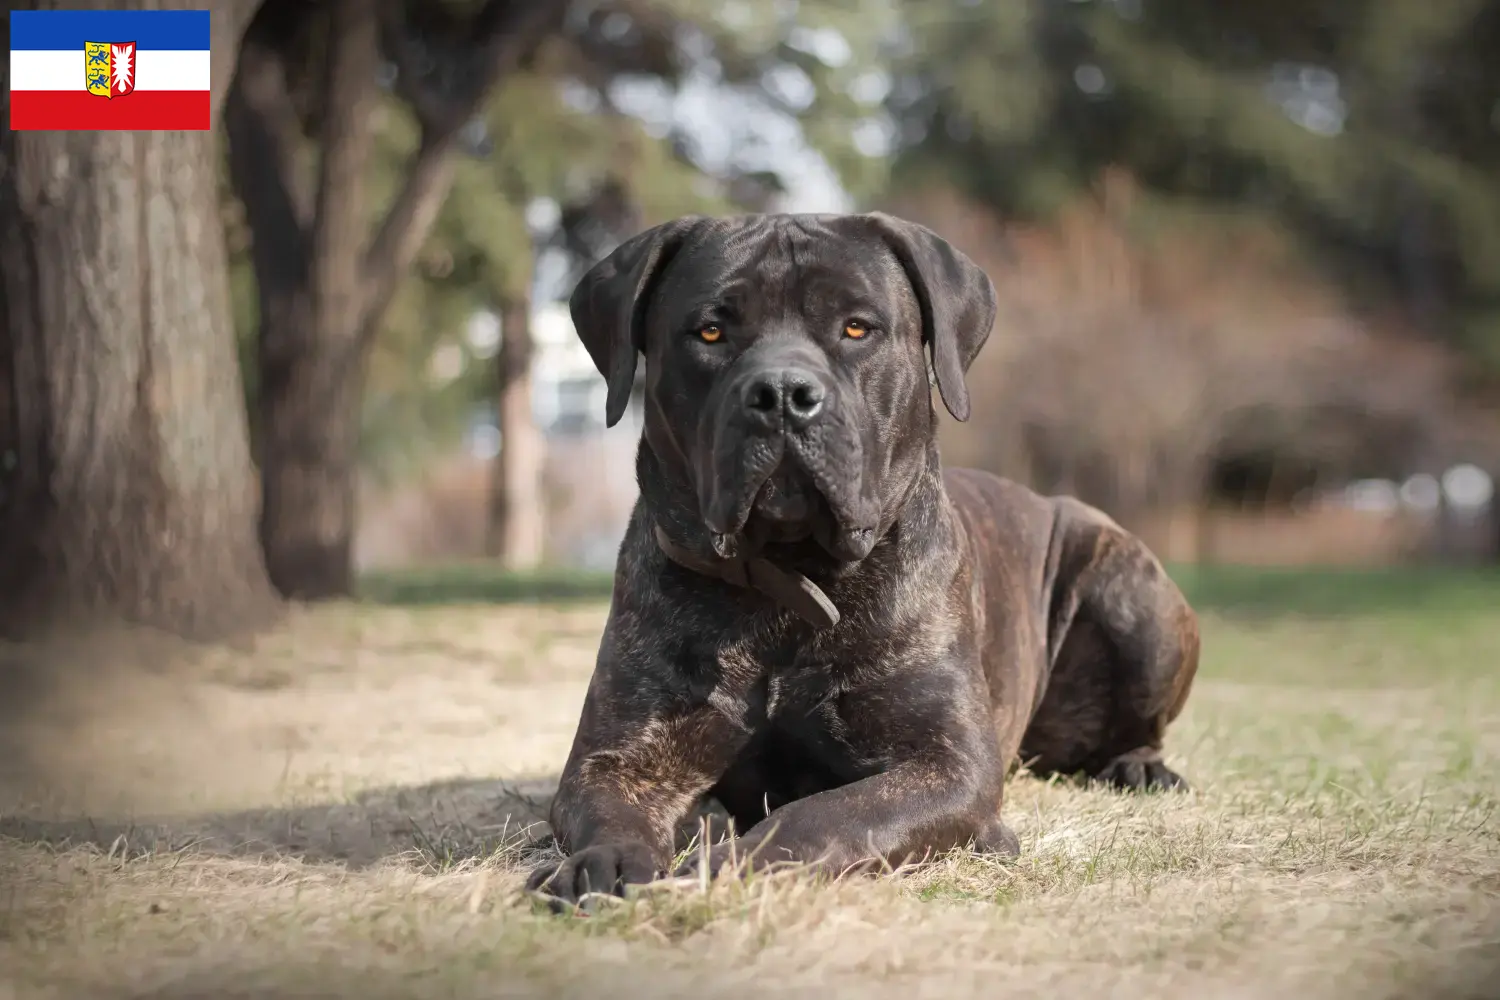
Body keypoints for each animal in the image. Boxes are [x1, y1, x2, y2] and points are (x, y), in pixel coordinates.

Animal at [525, 215, 1194, 905]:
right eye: (710, 330)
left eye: (856, 327)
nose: (783, 392)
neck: (788, 579)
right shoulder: (615, 755)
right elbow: (610, 805)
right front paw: (603, 862)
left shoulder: (948, 765)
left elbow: (820, 815)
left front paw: (725, 867)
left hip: (1136, 602)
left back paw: (1140, 768)